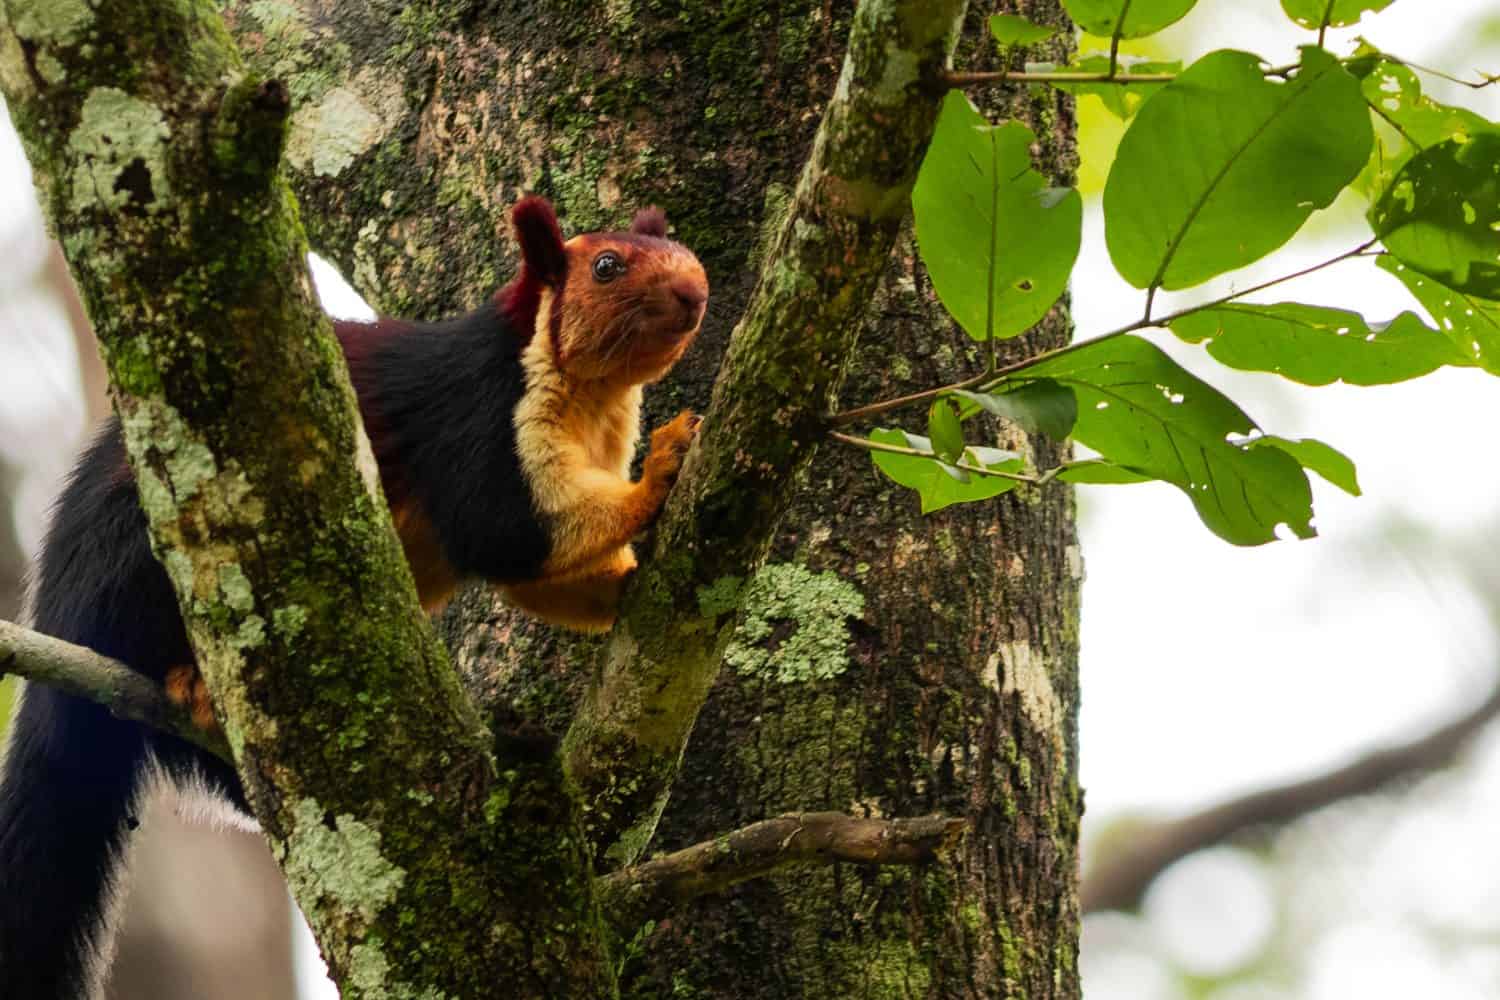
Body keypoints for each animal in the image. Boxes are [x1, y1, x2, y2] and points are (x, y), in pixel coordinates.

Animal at [0, 195, 708, 1000]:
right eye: (607, 266)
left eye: (682, 252)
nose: (695, 292)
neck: (588, 393)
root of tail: (60, 618)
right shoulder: (480, 416)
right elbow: (503, 532)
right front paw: (661, 470)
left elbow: (539, 579)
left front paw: (627, 583)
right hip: (140, 562)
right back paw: (190, 680)